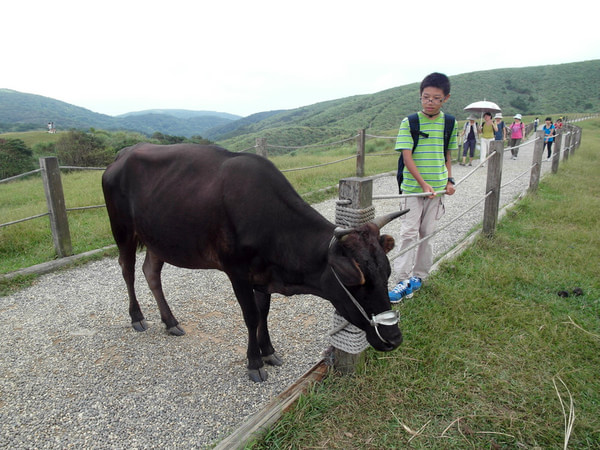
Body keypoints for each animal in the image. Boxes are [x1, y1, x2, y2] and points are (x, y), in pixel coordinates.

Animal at [102, 142, 408, 382]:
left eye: (386, 272)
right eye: (355, 279)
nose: (394, 338)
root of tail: (123, 154)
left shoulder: (263, 275)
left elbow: (264, 313)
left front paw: (269, 351)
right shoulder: (236, 271)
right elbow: (250, 316)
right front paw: (255, 362)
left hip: (157, 238)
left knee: (151, 272)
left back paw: (170, 321)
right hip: (123, 229)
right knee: (128, 270)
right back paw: (137, 317)